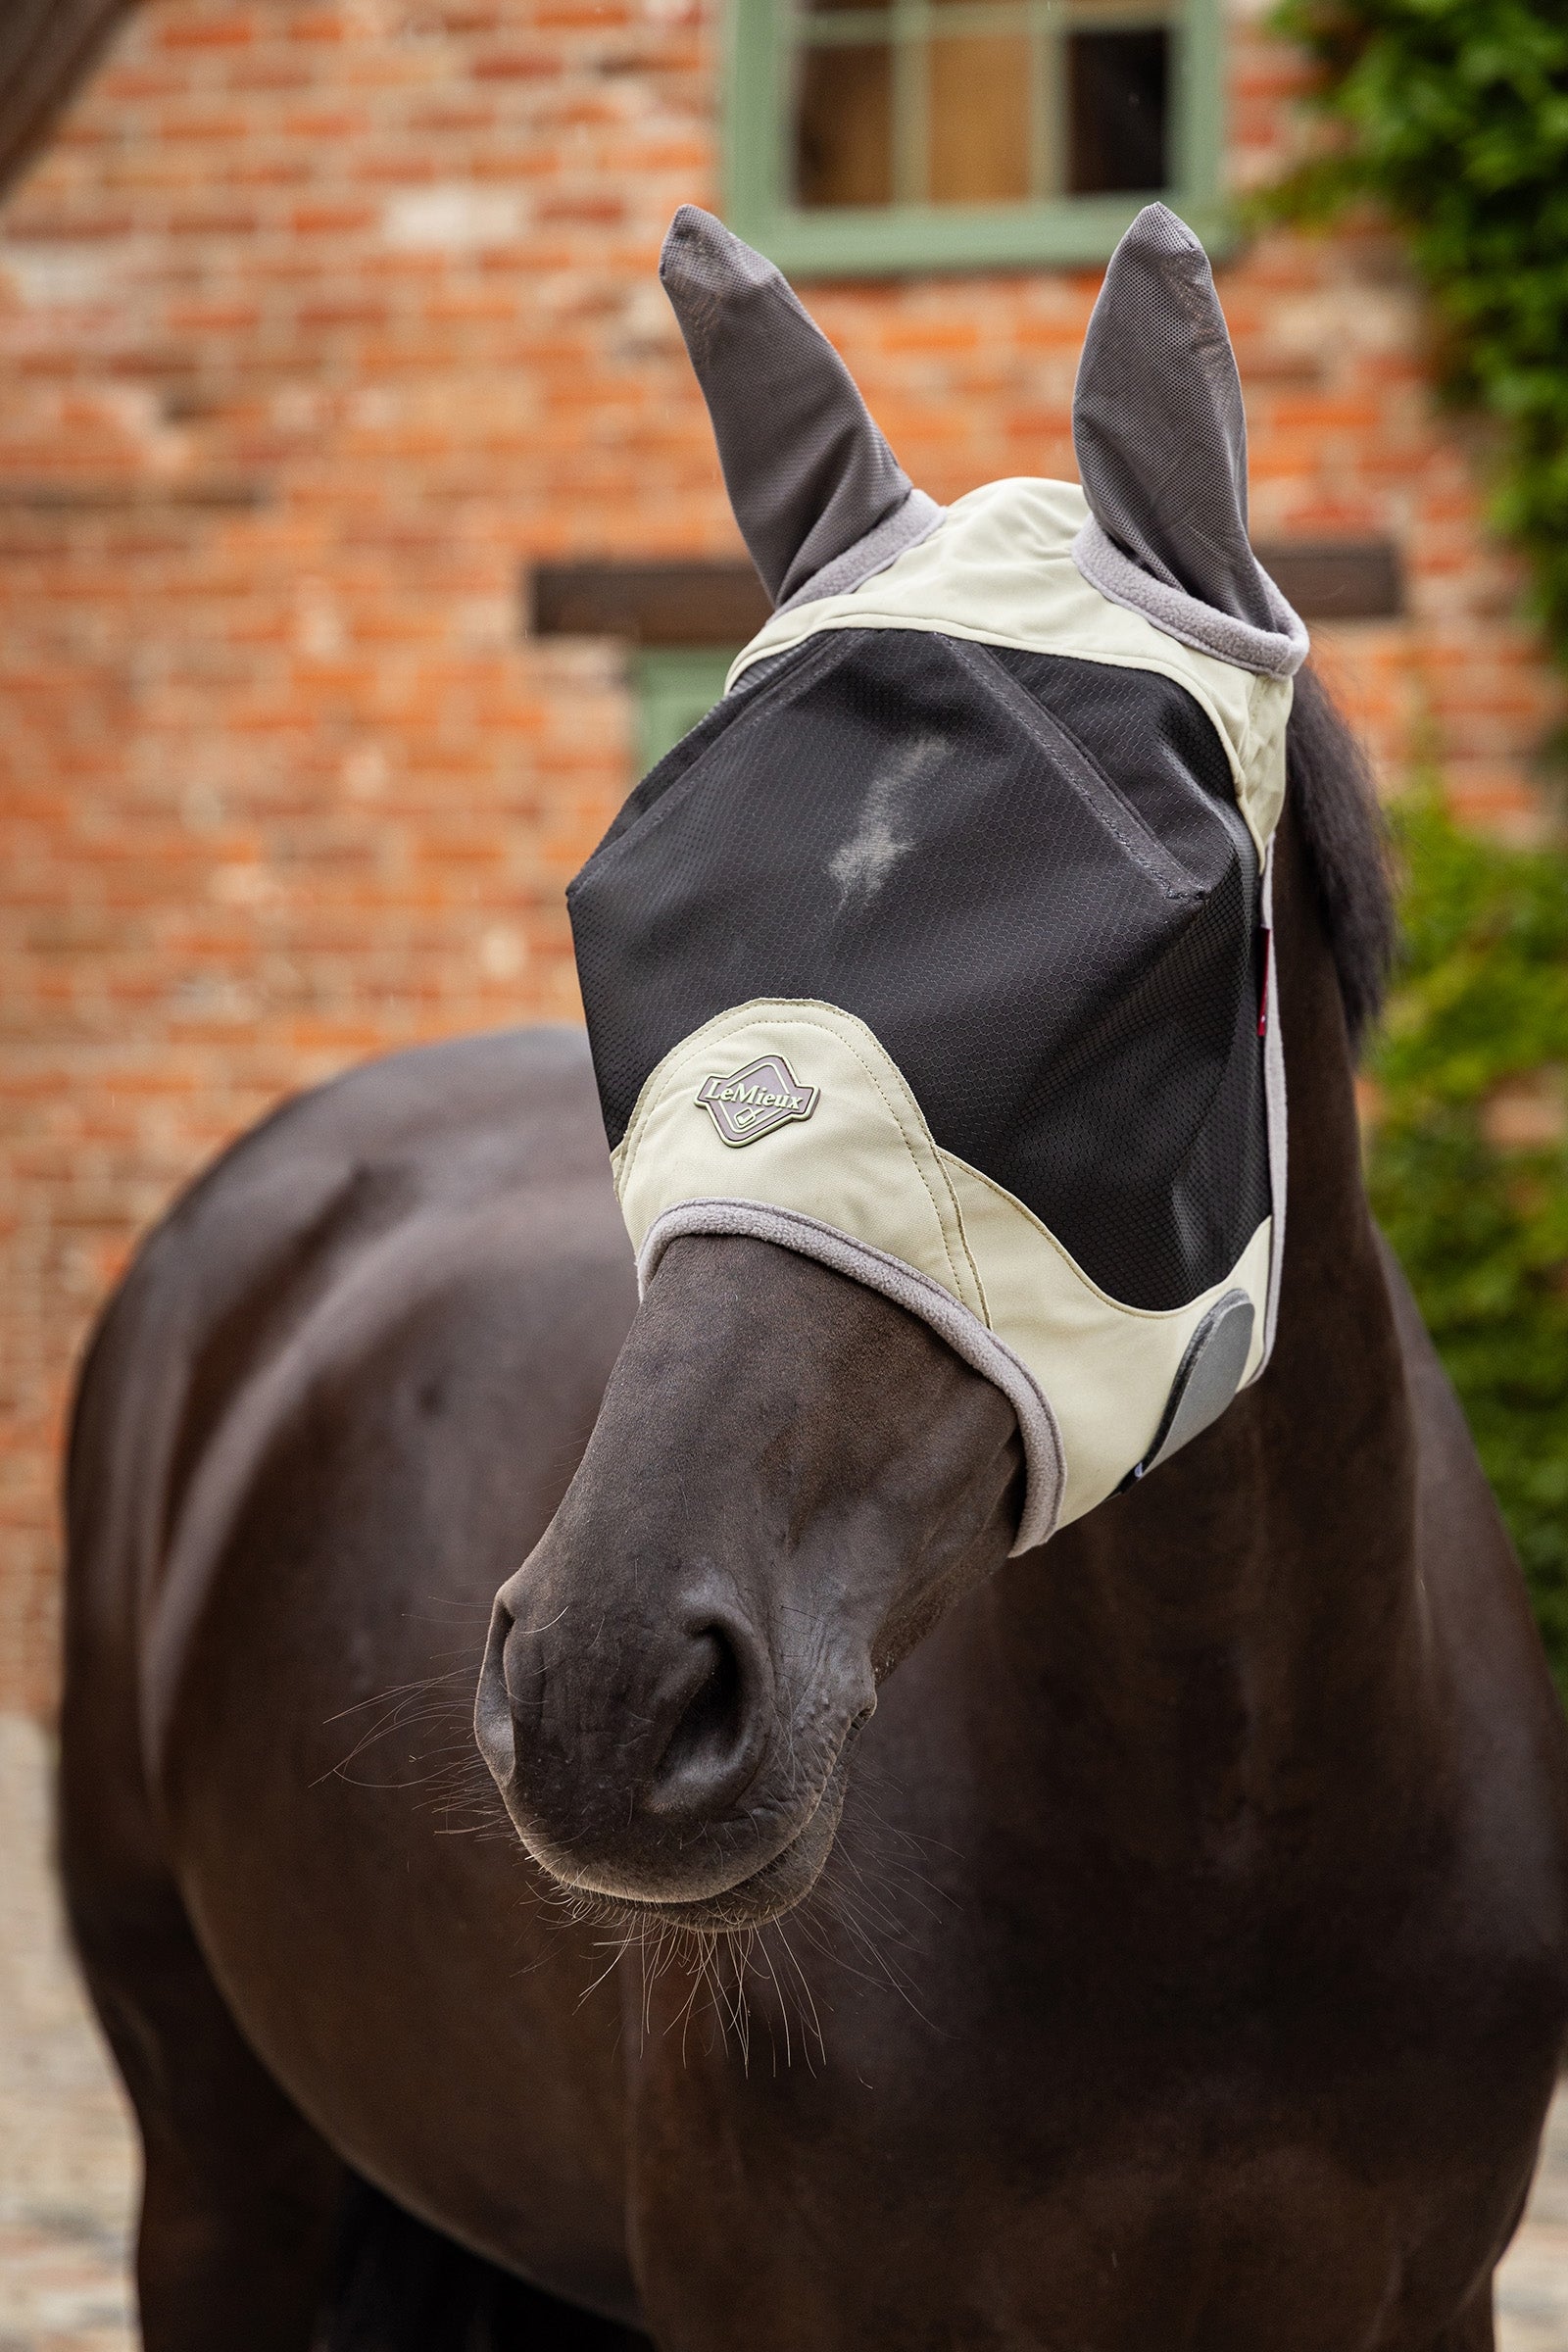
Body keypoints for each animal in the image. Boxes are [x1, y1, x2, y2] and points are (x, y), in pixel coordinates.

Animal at [59, 207, 1568, 2351]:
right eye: (623, 908)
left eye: (1158, 946)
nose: (609, 1700)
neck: (1220, 1865)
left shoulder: (1420, 2300)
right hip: (216, 2172)